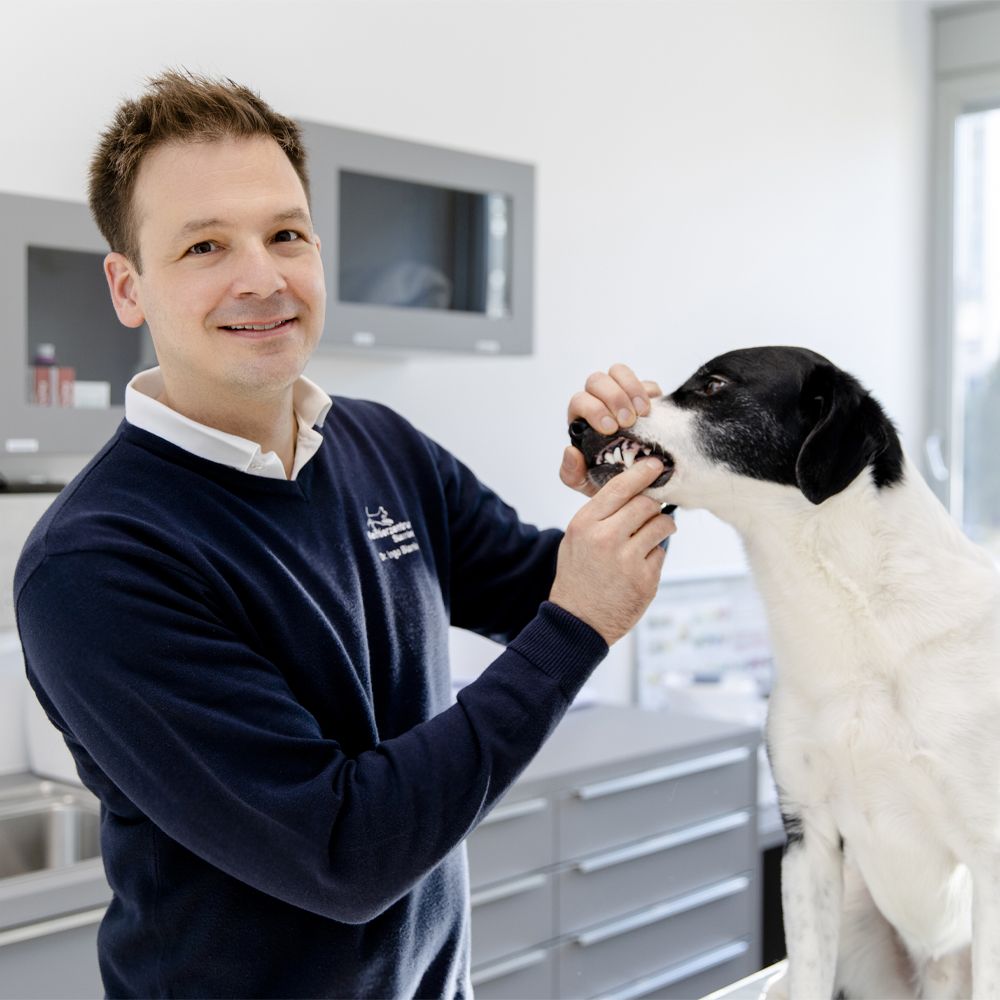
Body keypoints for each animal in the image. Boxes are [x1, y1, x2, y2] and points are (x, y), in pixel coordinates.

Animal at [572, 346, 1000, 1000]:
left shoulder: (988, 858)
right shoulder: (809, 838)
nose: (576, 424)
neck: (859, 613)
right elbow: (808, 974)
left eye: (713, 385)